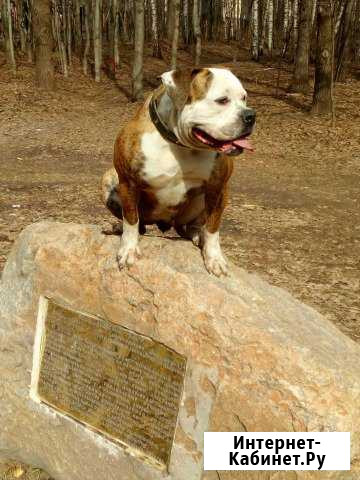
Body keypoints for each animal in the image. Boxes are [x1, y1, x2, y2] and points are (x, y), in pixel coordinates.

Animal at [101, 68, 255, 278]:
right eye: (222, 100)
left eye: (244, 98)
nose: (251, 115)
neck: (179, 143)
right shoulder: (127, 182)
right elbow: (131, 219)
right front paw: (129, 250)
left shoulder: (219, 187)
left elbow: (213, 227)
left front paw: (214, 258)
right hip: (108, 179)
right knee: (140, 225)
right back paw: (117, 227)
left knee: (192, 227)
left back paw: (198, 235)